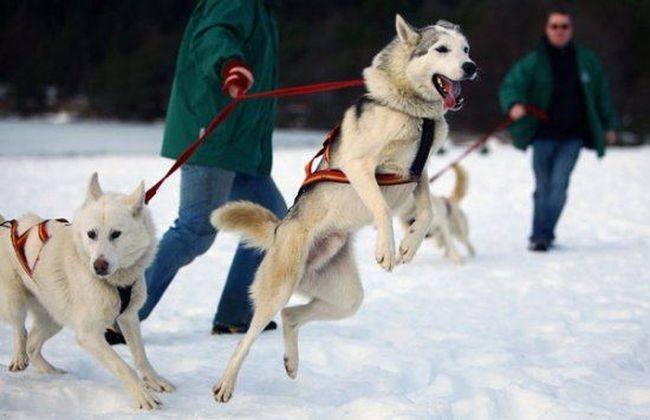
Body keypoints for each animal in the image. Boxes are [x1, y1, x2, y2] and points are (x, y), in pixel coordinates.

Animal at [0, 173, 173, 410]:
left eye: (116, 234)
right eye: (91, 234)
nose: (99, 266)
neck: (114, 282)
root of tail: (6, 226)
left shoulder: (129, 317)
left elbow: (141, 355)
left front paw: (155, 381)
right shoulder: (89, 333)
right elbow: (122, 366)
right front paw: (142, 396)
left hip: (55, 316)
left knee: (33, 345)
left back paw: (52, 372)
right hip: (15, 301)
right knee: (21, 331)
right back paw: (18, 358)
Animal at [210, 13, 474, 404]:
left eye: (466, 49)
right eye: (441, 49)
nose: (471, 67)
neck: (413, 110)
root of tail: (280, 229)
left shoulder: (419, 172)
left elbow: (426, 212)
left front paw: (409, 244)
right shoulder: (360, 165)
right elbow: (382, 208)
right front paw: (388, 249)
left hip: (346, 298)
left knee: (290, 315)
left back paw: (291, 362)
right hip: (278, 287)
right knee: (250, 336)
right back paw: (226, 383)